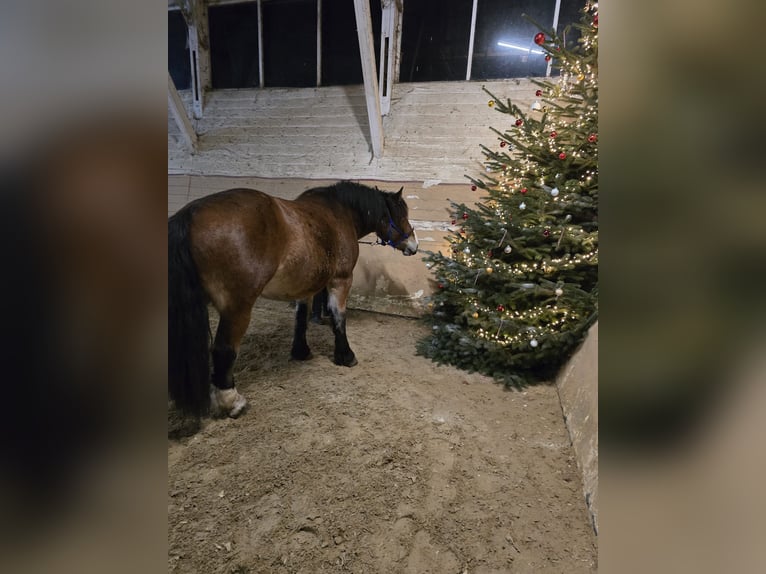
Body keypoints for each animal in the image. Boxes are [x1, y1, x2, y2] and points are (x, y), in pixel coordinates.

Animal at [169, 182, 420, 420]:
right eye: (401, 214)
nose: (414, 245)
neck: (340, 213)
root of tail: (191, 214)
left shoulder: (306, 287)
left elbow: (301, 318)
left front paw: (301, 351)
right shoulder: (340, 280)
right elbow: (339, 318)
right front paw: (346, 356)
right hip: (238, 307)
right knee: (224, 349)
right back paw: (232, 402)